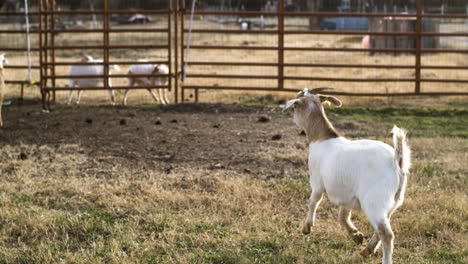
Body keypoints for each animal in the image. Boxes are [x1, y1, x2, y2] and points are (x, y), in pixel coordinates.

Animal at [282, 88, 410, 264]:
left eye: (295, 107)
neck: (322, 138)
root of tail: (397, 161)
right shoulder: (347, 194)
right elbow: (342, 216)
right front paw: (356, 235)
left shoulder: (317, 182)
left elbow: (313, 202)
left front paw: (307, 228)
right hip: (394, 202)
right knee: (382, 228)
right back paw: (366, 250)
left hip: (374, 202)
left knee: (387, 234)